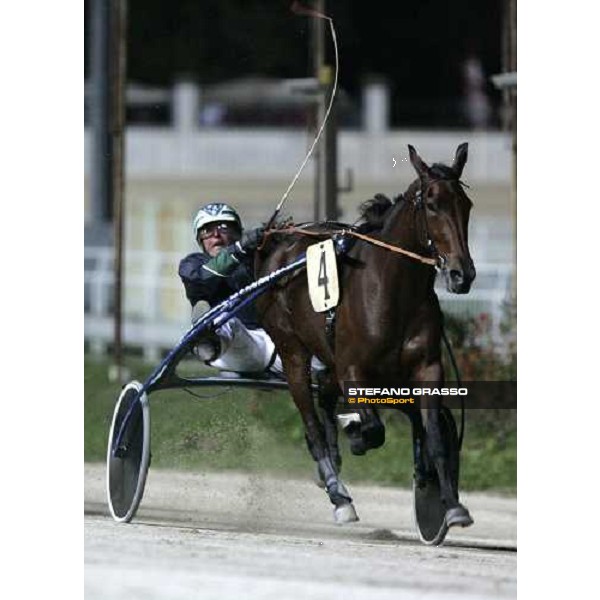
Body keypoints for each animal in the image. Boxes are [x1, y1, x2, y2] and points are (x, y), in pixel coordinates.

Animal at [255, 144, 476, 544]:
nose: (461, 273)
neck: (393, 288)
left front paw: (450, 504)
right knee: (312, 422)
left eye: (465, 204)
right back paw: (338, 493)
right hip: (293, 350)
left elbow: (434, 434)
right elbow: (373, 428)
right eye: (432, 203)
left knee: (328, 398)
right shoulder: (353, 369)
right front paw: (356, 432)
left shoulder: (425, 368)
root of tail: (275, 245)